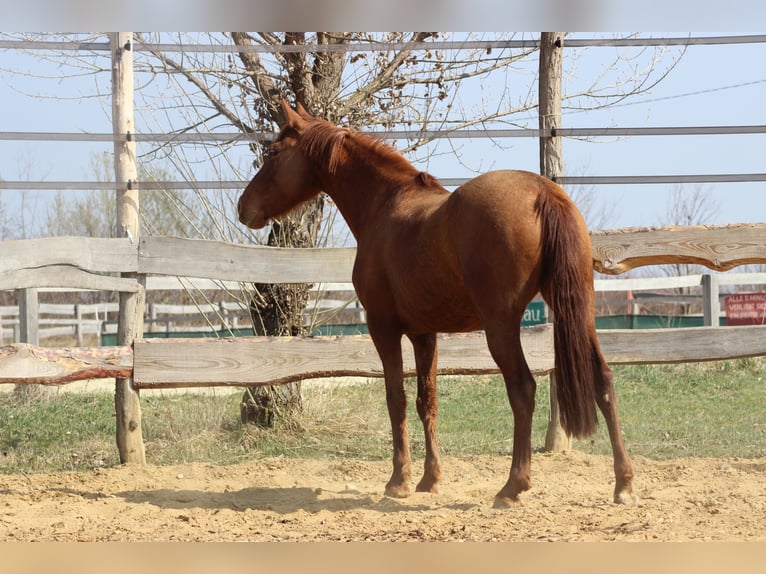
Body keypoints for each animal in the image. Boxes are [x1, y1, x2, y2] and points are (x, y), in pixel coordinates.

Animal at [238, 101, 636, 506]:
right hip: (578, 312)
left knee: (523, 390)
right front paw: (430, 479)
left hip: (501, 327)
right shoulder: (423, 334)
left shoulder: (383, 329)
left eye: (273, 153)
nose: (243, 207)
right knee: (603, 379)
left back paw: (512, 486)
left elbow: (396, 399)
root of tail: (543, 193)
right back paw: (623, 483)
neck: (385, 206)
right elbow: (426, 401)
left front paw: (398, 480)